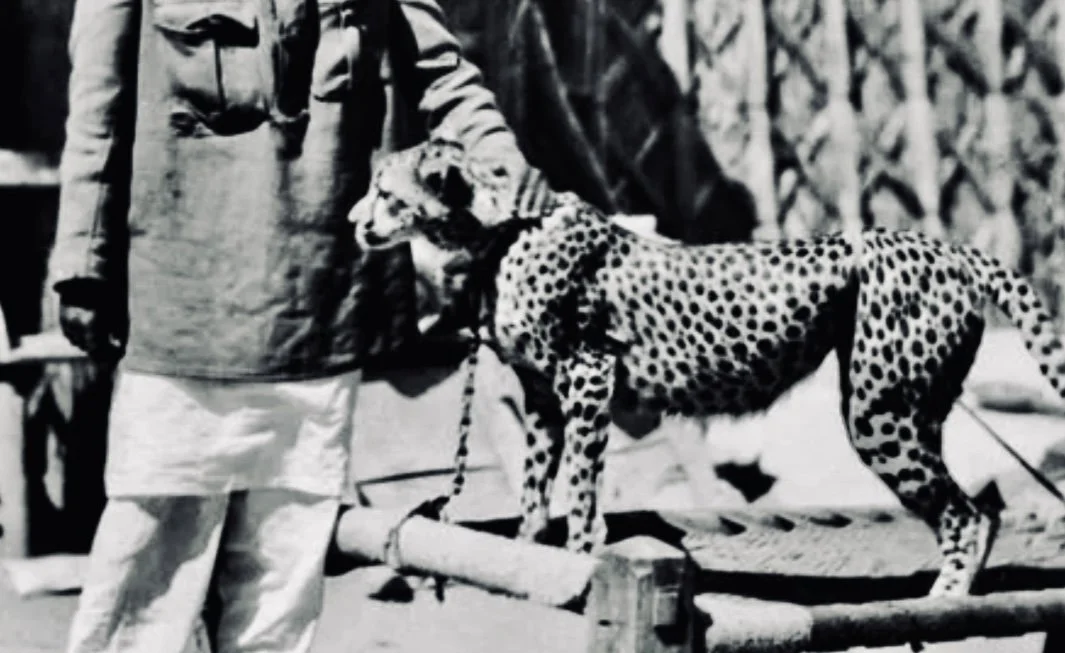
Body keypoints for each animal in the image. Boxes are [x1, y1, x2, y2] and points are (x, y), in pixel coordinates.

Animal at [349, 132, 1065, 598]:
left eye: (384, 191)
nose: (356, 222)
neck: (498, 229)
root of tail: (947, 246)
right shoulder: (543, 397)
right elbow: (532, 490)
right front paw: (523, 563)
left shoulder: (588, 378)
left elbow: (578, 487)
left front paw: (577, 563)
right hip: (918, 409)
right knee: (984, 509)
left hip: (879, 415)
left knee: (964, 515)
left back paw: (941, 602)